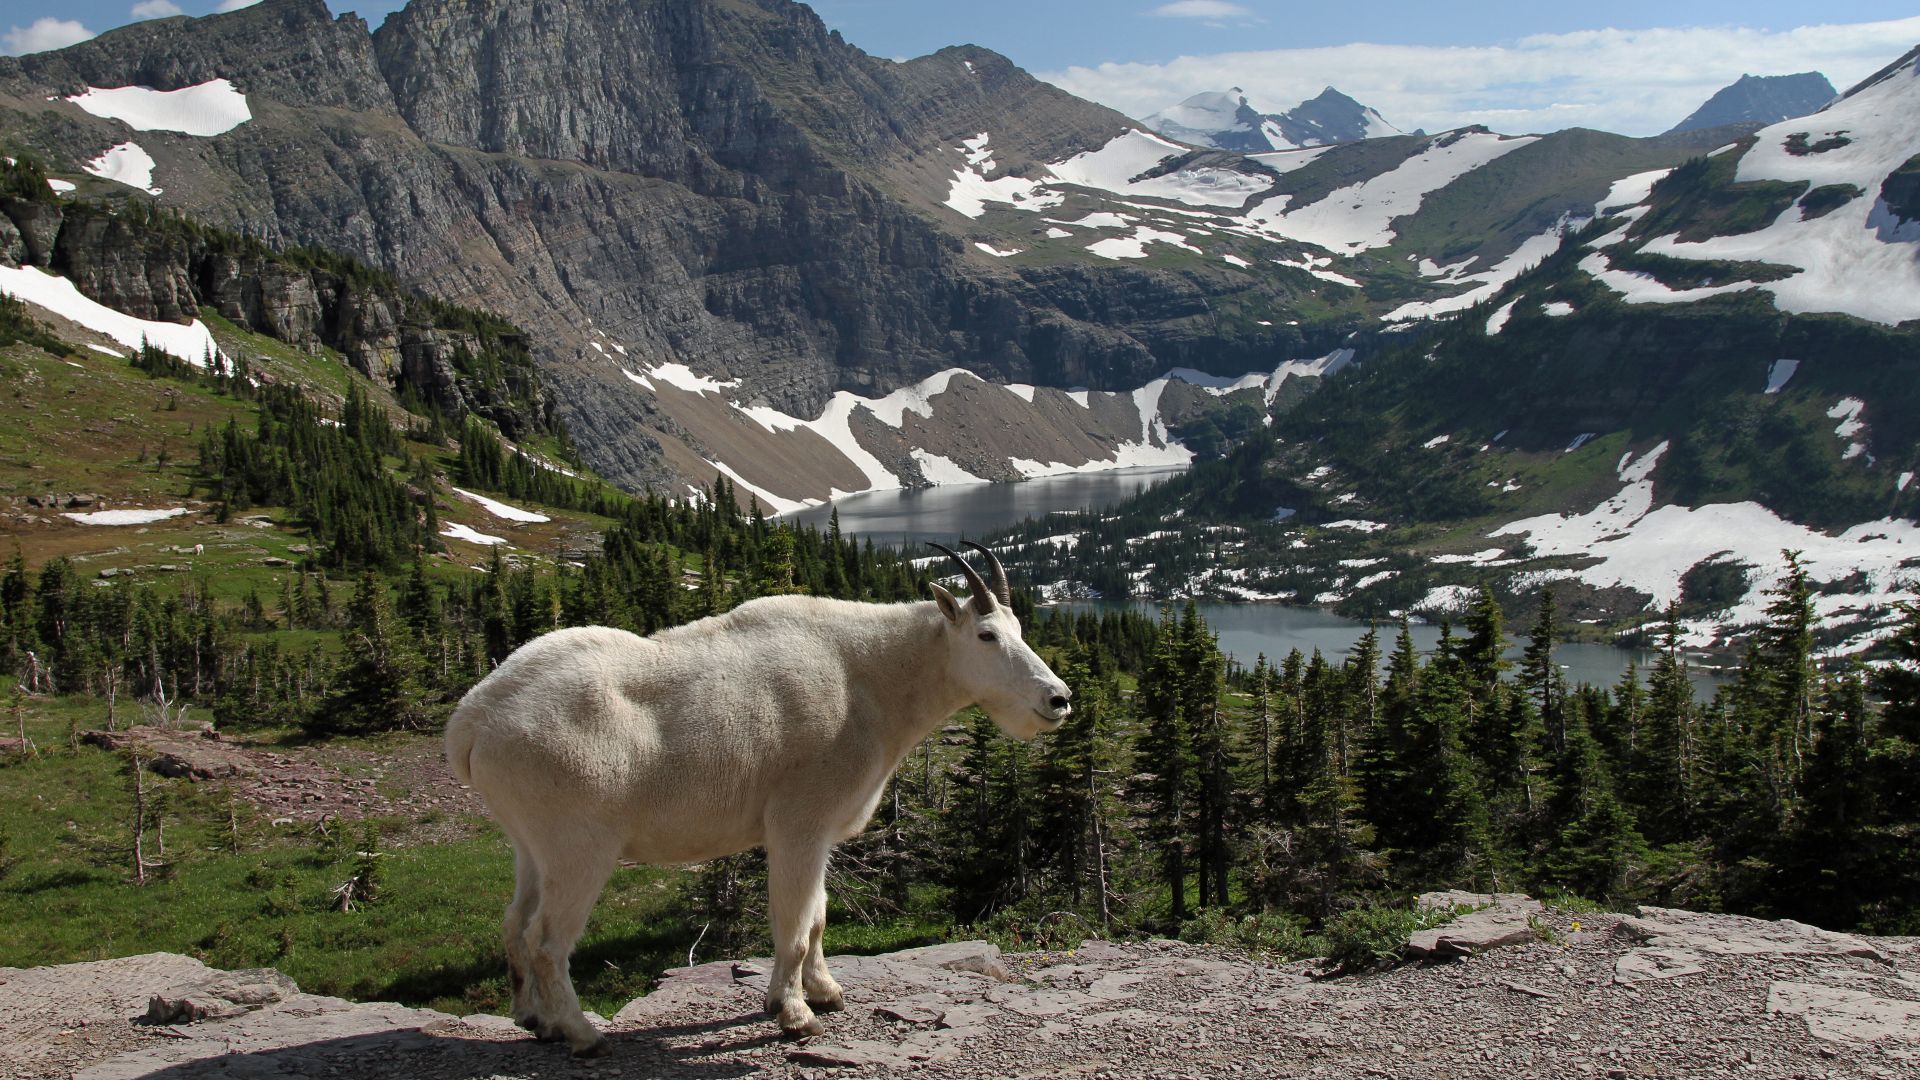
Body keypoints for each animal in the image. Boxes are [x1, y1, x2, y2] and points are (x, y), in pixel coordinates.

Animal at [444, 542, 1070, 1056]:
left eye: (1020, 627)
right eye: (987, 636)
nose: (1058, 699)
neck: (870, 680)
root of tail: (471, 720)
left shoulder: (819, 834)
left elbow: (817, 916)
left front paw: (826, 991)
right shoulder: (798, 822)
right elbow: (793, 922)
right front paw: (793, 1014)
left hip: (530, 844)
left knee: (513, 924)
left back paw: (534, 1020)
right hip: (579, 845)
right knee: (547, 939)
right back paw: (581, 1034)